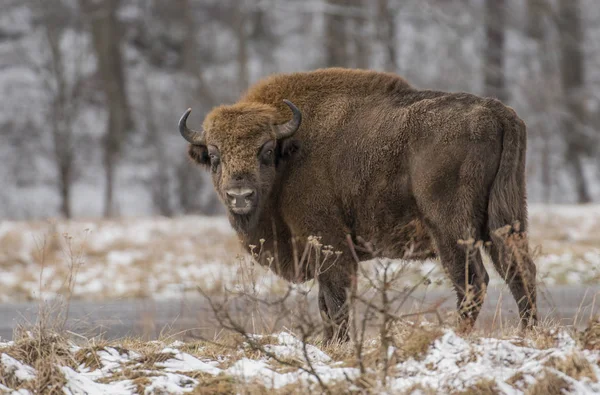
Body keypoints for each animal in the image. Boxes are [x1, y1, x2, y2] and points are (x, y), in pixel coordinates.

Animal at [179, 68, 540, 344]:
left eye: (266, 151)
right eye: (214, 155)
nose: (240, 195)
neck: (291, 151)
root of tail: (498, 112)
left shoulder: (330, 246)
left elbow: (335, 303)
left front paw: (338, 344)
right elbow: (326, 304)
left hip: (451, 228)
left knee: (472, 280)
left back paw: (457, 334)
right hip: (506, 216)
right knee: (519, 269)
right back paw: (528, 331)